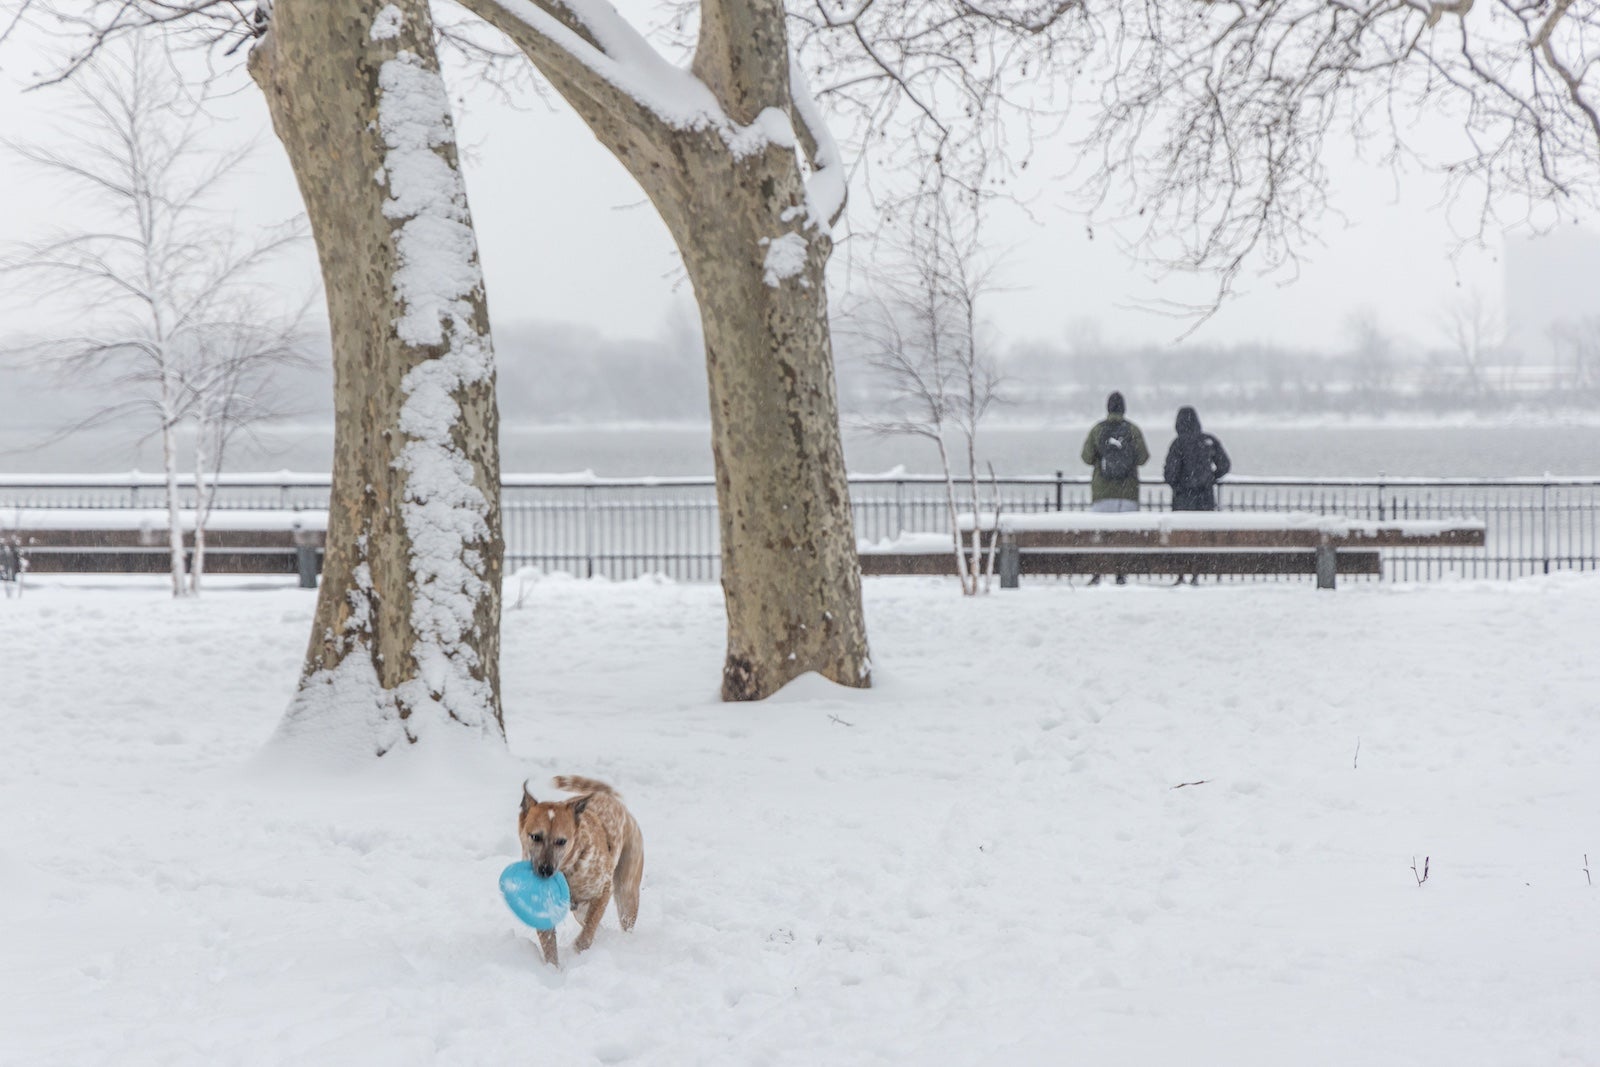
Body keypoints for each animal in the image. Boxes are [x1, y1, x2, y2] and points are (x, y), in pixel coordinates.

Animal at [512, 777, 636, 966]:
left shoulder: (604, 889)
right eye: (535, 837)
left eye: (561, 841)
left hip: (627, 894)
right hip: (581, 912)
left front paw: (578, 950)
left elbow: (589, 930)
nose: (545, 870)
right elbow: (549, 944)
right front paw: (552, 969)